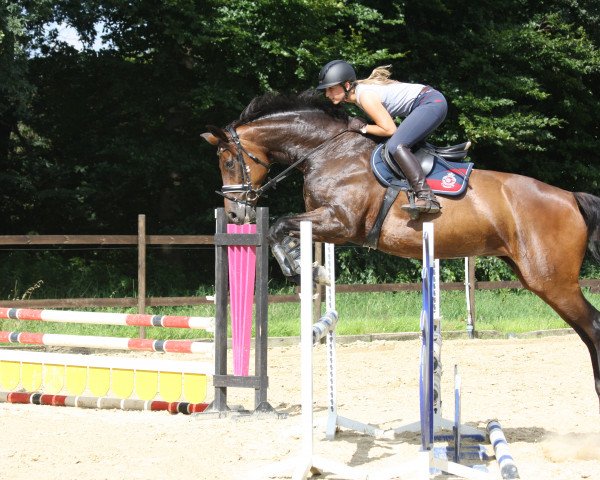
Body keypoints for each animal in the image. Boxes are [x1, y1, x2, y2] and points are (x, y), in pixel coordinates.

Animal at [200, 91, 600, 408]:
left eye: (230, 161)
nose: (235, 213)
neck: (328, 151)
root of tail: (570, 198)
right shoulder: (329, 224)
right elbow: (285, 230)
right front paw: (305, 265)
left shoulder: (343, 222)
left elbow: (279, 225)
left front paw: (299, 266)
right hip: (538, 278)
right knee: (585, 328)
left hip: (551, 280)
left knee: (592, 325)